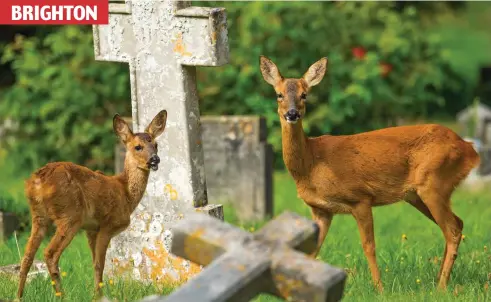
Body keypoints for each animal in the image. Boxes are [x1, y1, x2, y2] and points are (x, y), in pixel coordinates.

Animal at [17, 109, 167, 298]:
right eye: (137, 146)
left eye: (156, 145)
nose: (155, 159)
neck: (125, 193)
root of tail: (37, 182)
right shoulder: (107, 225)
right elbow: (99, 264)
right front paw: (99, 296)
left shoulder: (91, 230)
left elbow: (94, 262)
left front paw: (97, 293)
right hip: (70, 215)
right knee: (50, 253)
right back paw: (62, 296)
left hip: (38, 216)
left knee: (27, 257)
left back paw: (18, 296)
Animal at [262, 55, 480, 292]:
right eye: (279, 94)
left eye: (304, 95)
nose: (292, 114)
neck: (312, 164)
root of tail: (470, 149)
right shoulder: (321, 210)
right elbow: (313, 250)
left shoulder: (360, 198)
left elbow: (369, 246)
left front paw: (379, 289)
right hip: (417, 194)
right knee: (457, 223)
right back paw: (439, 279)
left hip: (434, 182)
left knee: (452, 230)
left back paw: (440, 287)